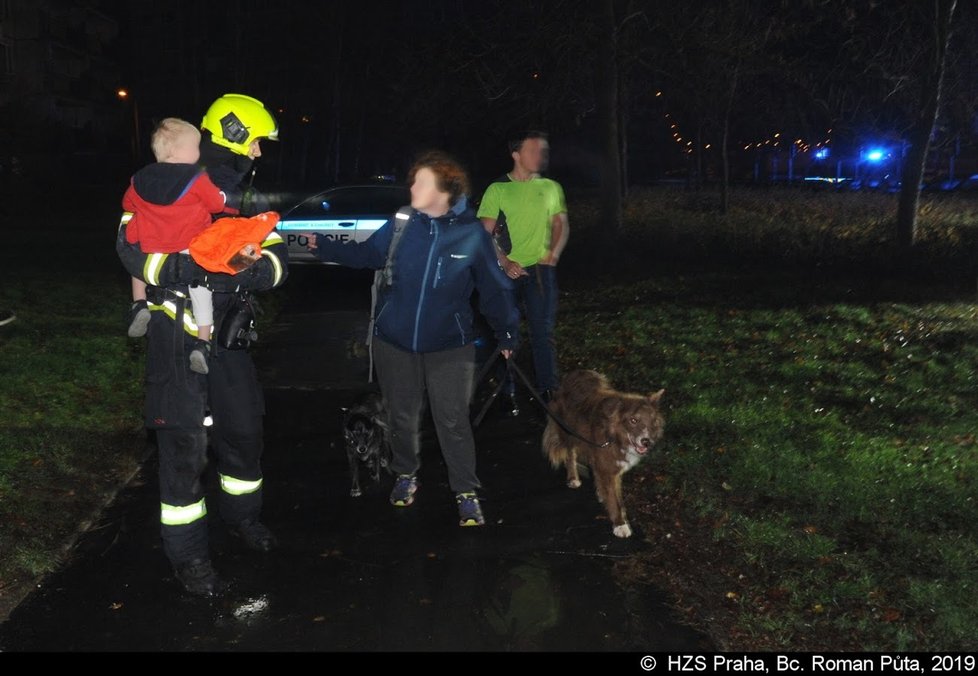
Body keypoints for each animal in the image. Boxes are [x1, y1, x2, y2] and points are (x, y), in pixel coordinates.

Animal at [540, 370, 664, 540]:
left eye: (653, 421)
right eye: (633, 420)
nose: (646, 442)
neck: (614, 435)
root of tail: (574, 373)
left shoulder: (612, 467)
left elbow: (616, 496)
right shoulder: (607, 466)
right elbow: (614, 500)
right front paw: (620, 524)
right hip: (567, 431)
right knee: (570, 455)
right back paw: (573, 478)